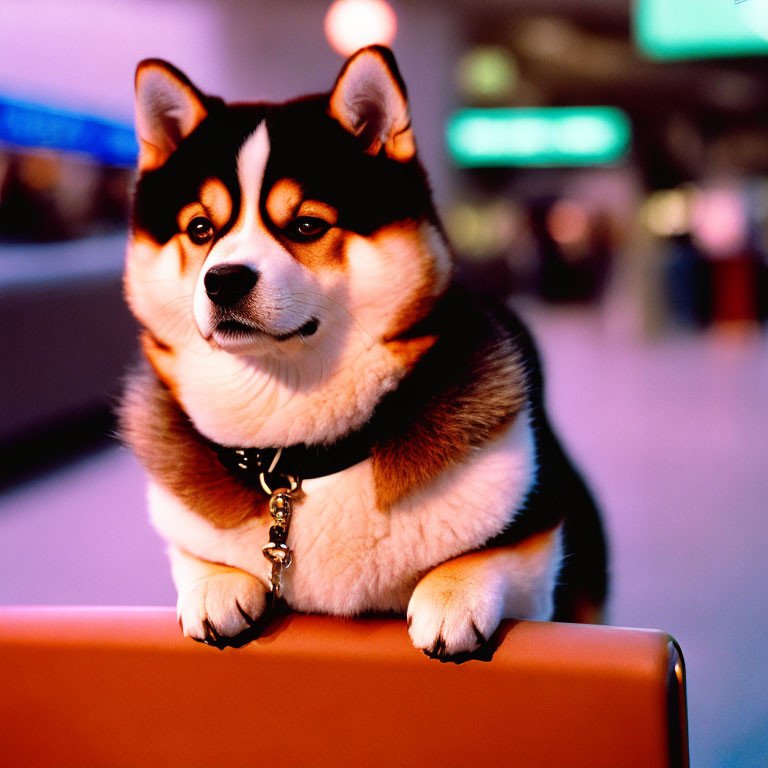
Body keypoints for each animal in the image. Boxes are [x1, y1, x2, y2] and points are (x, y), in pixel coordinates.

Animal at [118, 45, 608, 656]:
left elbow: (497, 552)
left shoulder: (538, 541)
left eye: (307, 225)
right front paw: (216, 581)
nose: (223, 281)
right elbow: (194, 553)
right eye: (201, 229)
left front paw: (453, 589)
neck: (300, 454)